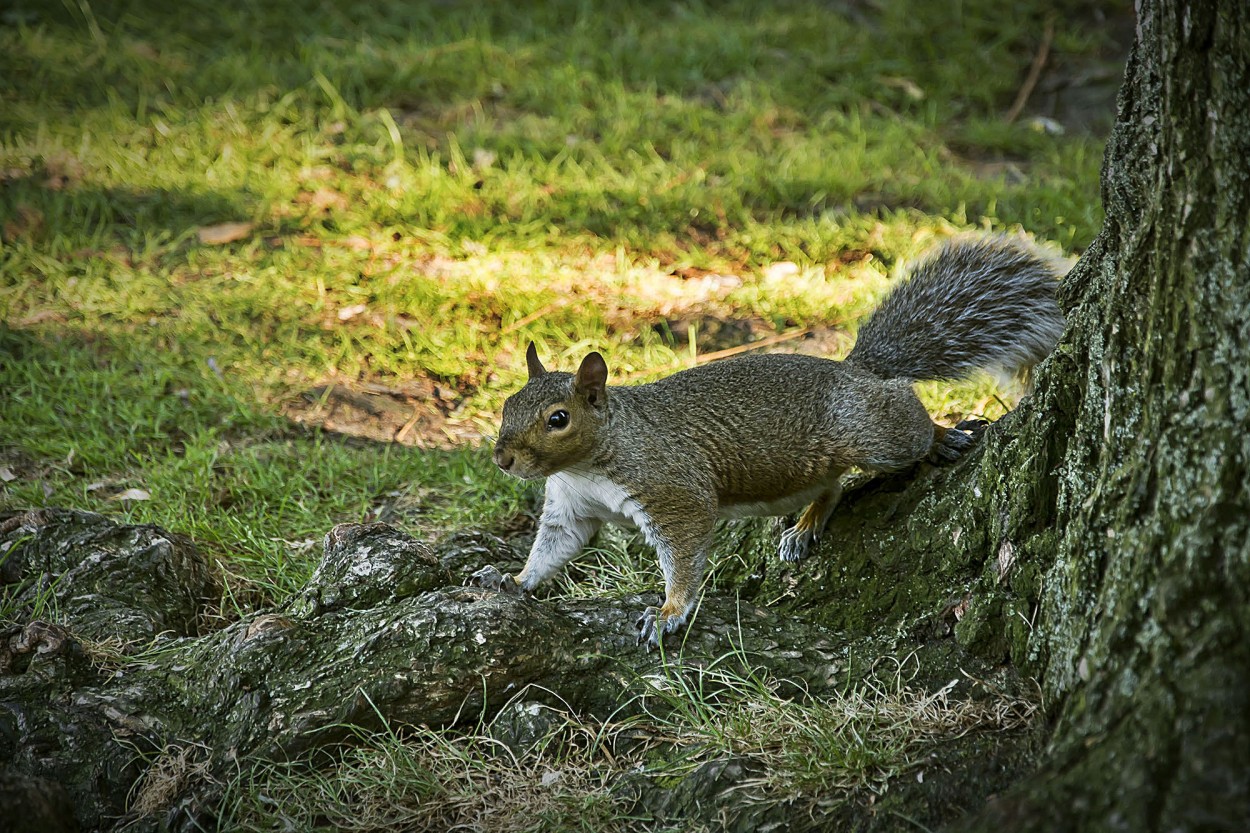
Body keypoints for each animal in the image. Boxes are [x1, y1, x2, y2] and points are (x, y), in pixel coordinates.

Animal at [470, 235, 1065, 650]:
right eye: (506, 405)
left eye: (558, 419)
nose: (502, 458)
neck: (588, 463)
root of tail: (857, 372)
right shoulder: (571, 508)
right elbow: (553, 550)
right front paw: (513, 580)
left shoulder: (672, 490)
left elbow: (684, 552)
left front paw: (669, 613)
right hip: (801, 474)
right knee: (829, 487)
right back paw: (803, 528)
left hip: (874, 434)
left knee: (904, 421)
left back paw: (942, 435)